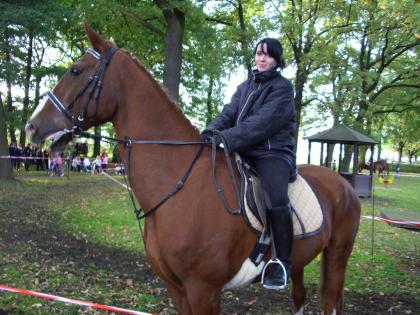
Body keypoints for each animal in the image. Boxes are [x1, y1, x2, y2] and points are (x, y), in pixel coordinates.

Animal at [26, 25, 360, 315]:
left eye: (76, 70)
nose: (31, 127)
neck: (179, 184)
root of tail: (345, 185)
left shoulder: (203, 288)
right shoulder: (177, 288)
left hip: (337, 257)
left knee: (331, 301)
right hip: (302, 262)